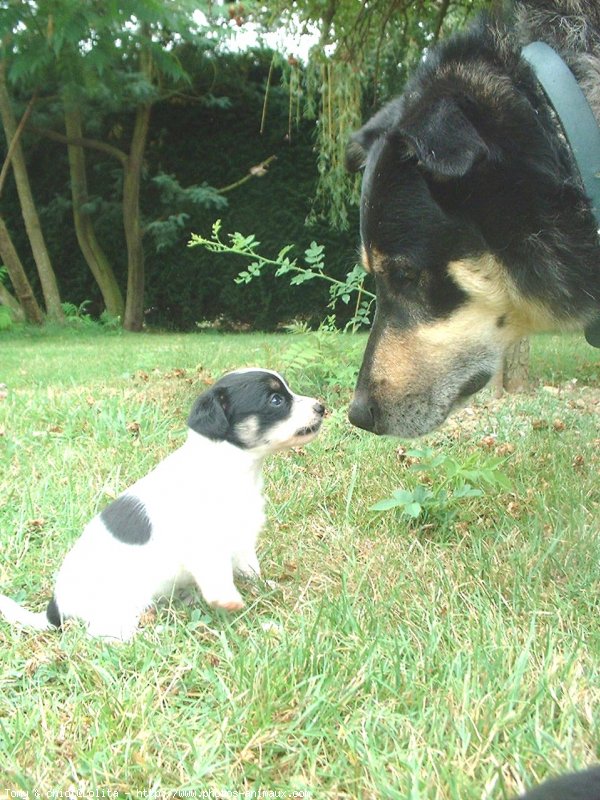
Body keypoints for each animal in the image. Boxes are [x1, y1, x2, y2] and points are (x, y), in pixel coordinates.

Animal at [0, 370, 324, 644]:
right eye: (276, 400)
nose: (322, 407)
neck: (230, 468)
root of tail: (55, 610)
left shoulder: (241, 539)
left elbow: (250, 569)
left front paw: (264, 586)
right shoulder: (203, 545)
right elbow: (217, 574)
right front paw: (227, 599)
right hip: (117, 608)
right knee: (104, 634)